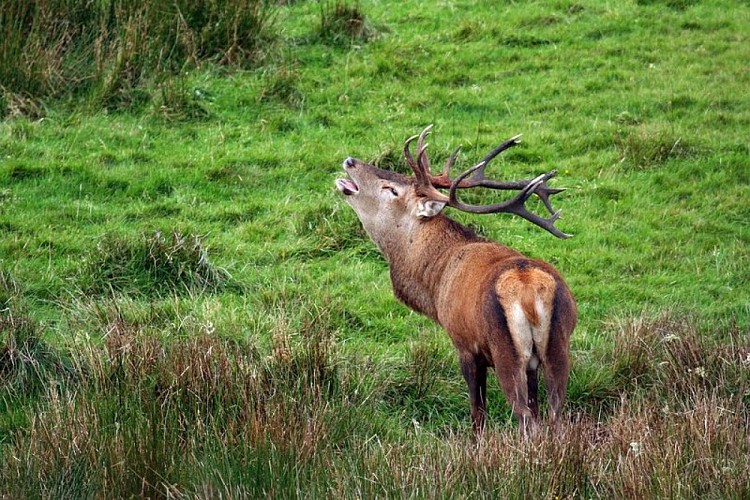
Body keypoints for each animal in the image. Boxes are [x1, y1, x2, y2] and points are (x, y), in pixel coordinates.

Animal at [334, 125, 577, 437]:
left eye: (392, 189)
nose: (350, 160)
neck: (435, 285)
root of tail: (528, 289)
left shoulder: (464, 344)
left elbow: (477, 412)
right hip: (558, 345)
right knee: (554, 413)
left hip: (506, 351)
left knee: (524, 416)